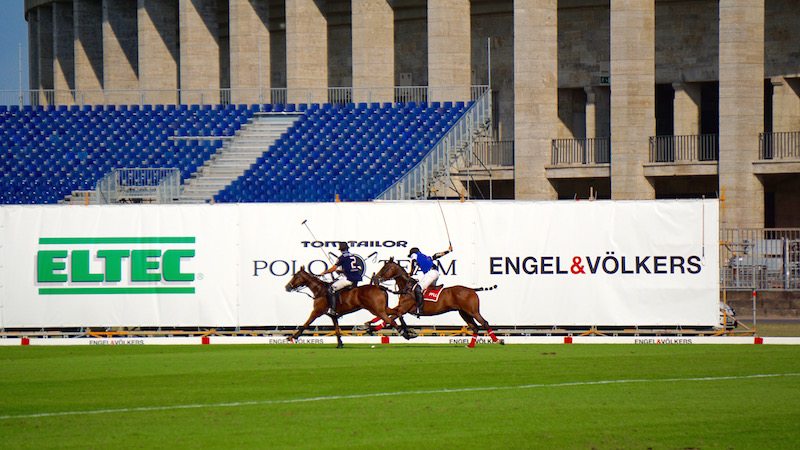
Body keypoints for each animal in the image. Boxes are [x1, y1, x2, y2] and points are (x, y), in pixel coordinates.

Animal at [372, 256, 504, 348]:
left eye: (385, 268)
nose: (375, 278)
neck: (407, 288)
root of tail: (472, 289)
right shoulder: (401, 308)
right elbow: (386, 315)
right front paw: (371, 326)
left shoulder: (404, 309)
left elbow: (390, 317)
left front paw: (371, 327)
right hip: (464, 312)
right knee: (475, 327)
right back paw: (471, 345)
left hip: (473, 311)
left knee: (484, 323)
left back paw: (498, 340)